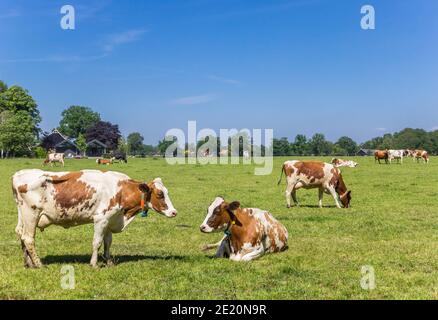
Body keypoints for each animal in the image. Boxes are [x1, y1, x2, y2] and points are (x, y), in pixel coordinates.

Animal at [13, 169, 178, 268]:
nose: (174, 212)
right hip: (31, 214)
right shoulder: (101, 219)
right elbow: (97, 242)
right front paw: (94, 264)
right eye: (160, 194)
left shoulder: (110, 220)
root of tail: (19, 174)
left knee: (21, 235)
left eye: (166, 192)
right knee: (28, 238)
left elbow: (108, 242)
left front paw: (109, 262)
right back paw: (39, 264)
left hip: (23, 216)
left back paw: (28, 263)